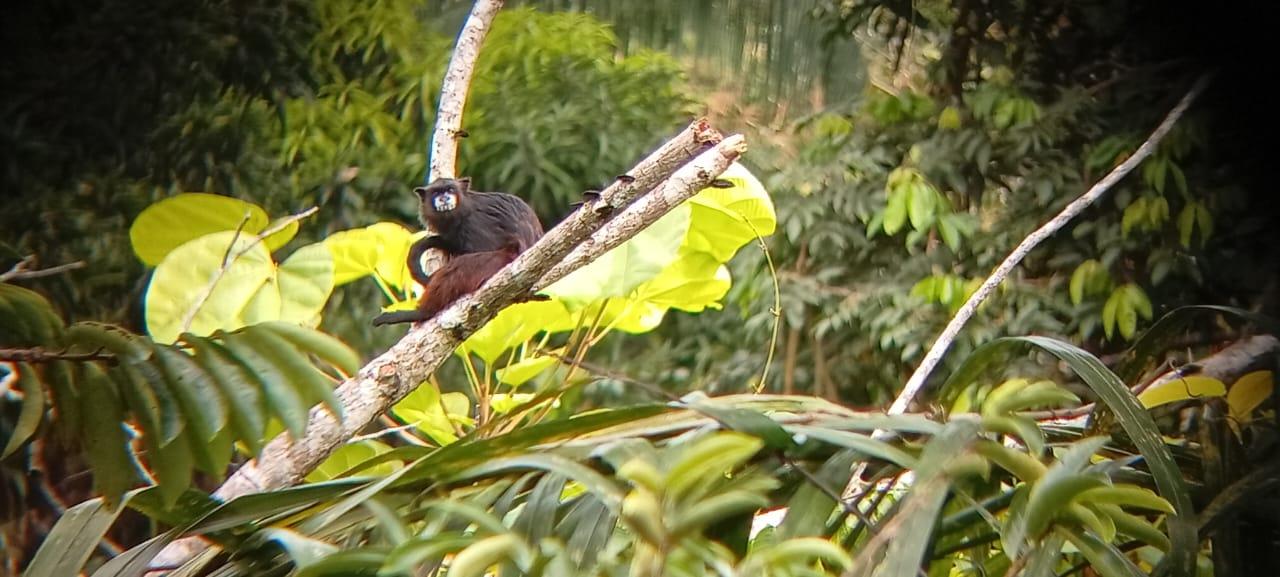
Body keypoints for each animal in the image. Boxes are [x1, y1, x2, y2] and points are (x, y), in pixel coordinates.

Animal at [372, 177, 545, 326]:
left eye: (450, 189)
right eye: (437, 193)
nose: (444, 198)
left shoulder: (475, 223)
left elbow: (485, 247)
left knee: (462, 266)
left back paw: (422, 313)